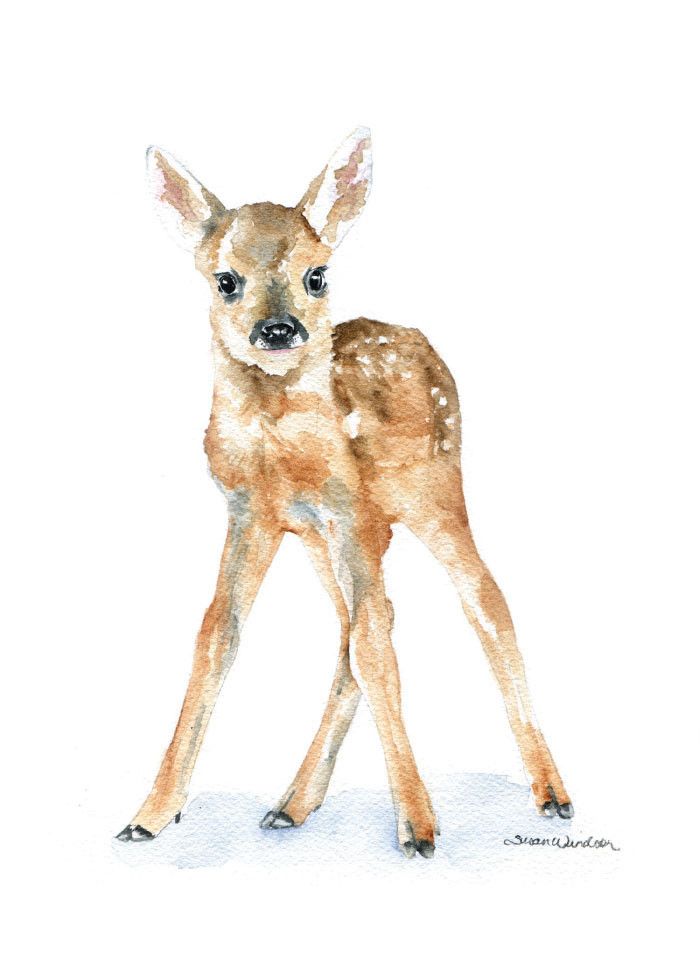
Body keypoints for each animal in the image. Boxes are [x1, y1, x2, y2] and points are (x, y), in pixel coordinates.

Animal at [116, 127, 572, 858]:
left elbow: (373, 647)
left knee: (480, 603)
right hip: (329, 537)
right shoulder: (253, 513)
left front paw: (419, 828)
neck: (281, 450)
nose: (278, 330)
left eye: (317, 275)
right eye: (225, 280)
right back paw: (290, 806)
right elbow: (219, 635)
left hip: (431, 492)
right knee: (361, 624)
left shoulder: (346, 507)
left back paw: (552, 795)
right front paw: (150, 815)